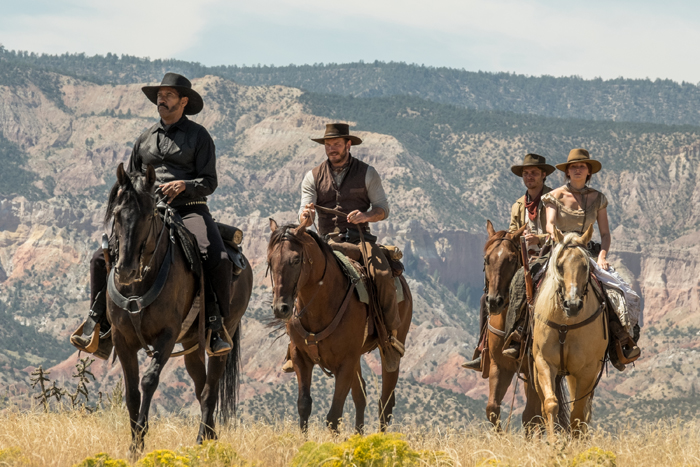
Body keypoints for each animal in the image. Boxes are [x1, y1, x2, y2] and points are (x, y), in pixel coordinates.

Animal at [266, 221, 410, 434]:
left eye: (296, 260)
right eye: (270, 261)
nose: (280, 308)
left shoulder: (345, 363)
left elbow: (334, 416)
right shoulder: (301, 357)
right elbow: (304, 406)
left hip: (387, 351)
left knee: (385, 403)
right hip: (357, 358)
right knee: (361, 396)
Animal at [484, 221, 544, 434]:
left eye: (511, 259)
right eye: (486, 259)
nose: (494, 302)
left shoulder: (535, 371)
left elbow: (531, 416)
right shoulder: (499, 365)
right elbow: (492, 409)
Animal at [532, 226, 604, 442]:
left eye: (585, 266)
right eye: (559, 266)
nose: (572, 305)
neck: (566, 325)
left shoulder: (587, 370)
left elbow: (578, 414)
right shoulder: (544, 362)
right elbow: (550, 404)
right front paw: (553, 443)